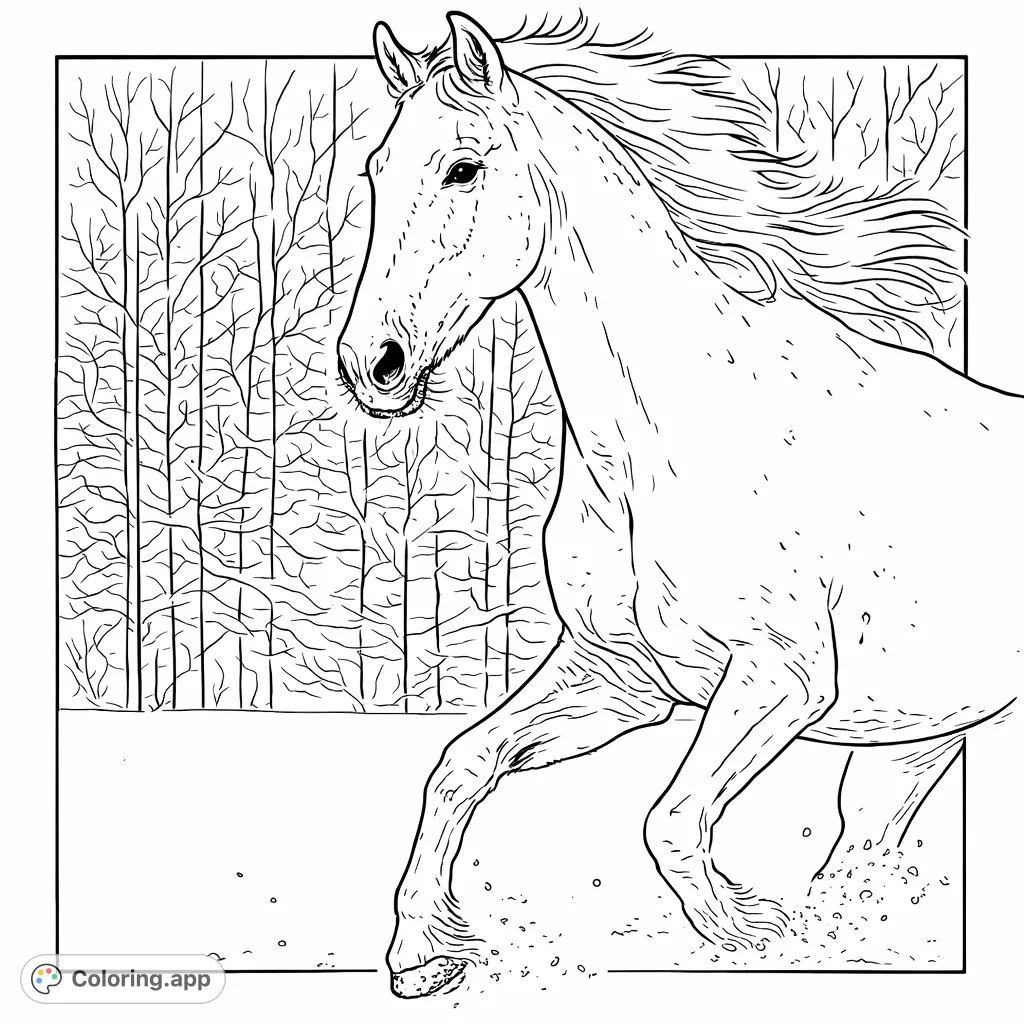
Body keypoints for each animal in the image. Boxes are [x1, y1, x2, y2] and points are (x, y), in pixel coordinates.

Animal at [336, 13, 1021, 997]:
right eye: (375, 172)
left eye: (462, 168)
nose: (371, 366)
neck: (661, 442)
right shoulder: (619, 678)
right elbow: (460, 765)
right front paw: (423, 955)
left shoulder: (783, 677)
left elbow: (670, 817)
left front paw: (748, 930)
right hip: (919, 735)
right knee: (867, 847)